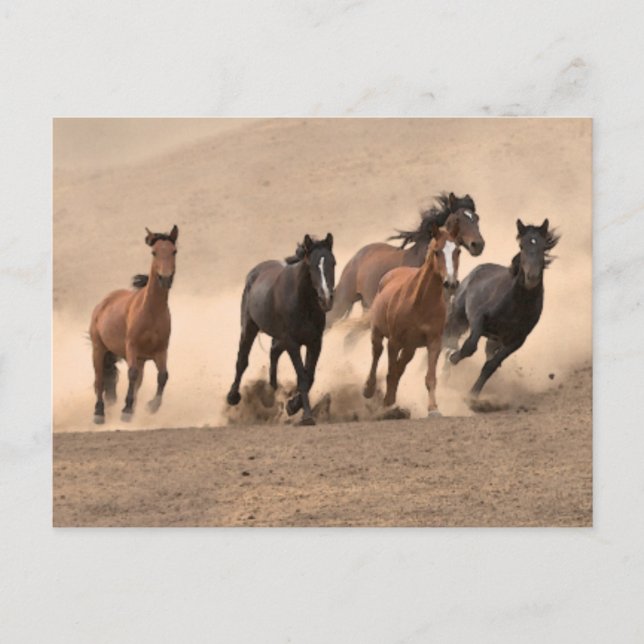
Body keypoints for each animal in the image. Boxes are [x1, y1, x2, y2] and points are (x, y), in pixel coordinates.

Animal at [89, 225, 178, 424]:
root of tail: (102, 304)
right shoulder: (132, 346)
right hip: (99, 349)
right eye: (154, 252)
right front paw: (126, 411)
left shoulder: (161, 350)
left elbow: (163, 376)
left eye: (174, 251)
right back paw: (99, 413)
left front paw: (152, 406)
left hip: (140, 359)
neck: (151, 312)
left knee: (136, 383)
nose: (165, 279)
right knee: (99, 380)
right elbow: (132, 373)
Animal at [226, 233, 335, 426]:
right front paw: (307, 416)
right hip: (249, 327)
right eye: (311, 266)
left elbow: (310, 376)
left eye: (333, 263)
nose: (326, 299)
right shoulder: (292, 343)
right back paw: (233, 396)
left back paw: (272, 392)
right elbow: (302, 377)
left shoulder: (314, 342)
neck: (303, 302)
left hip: (279, 337)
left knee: (274, 351)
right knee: (242, 359)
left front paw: (292, 405)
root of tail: (255, 272)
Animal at [363, 228, 455, 416]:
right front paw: (387, 404)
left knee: (400, 366)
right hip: (378, 332)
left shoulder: (434, 342)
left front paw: (433, 409)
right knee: (377, 353)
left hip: (410, 347)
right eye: (437, 251)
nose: (450, 282)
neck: (421, 302)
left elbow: (430, 377)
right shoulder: (394, 341)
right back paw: (369, 389)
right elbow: (391, 371)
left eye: (457, 251)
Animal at [444, 219, 560, 397]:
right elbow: (469, 347)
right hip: (458, 318)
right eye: (521, 246)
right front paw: (452, 358)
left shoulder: (516, 340)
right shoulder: (478, 319)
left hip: (493, 339)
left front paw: (473, 395)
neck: (516, 304)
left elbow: (491, 365)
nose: (532, 278)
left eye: (543, 247)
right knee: (449, 340)